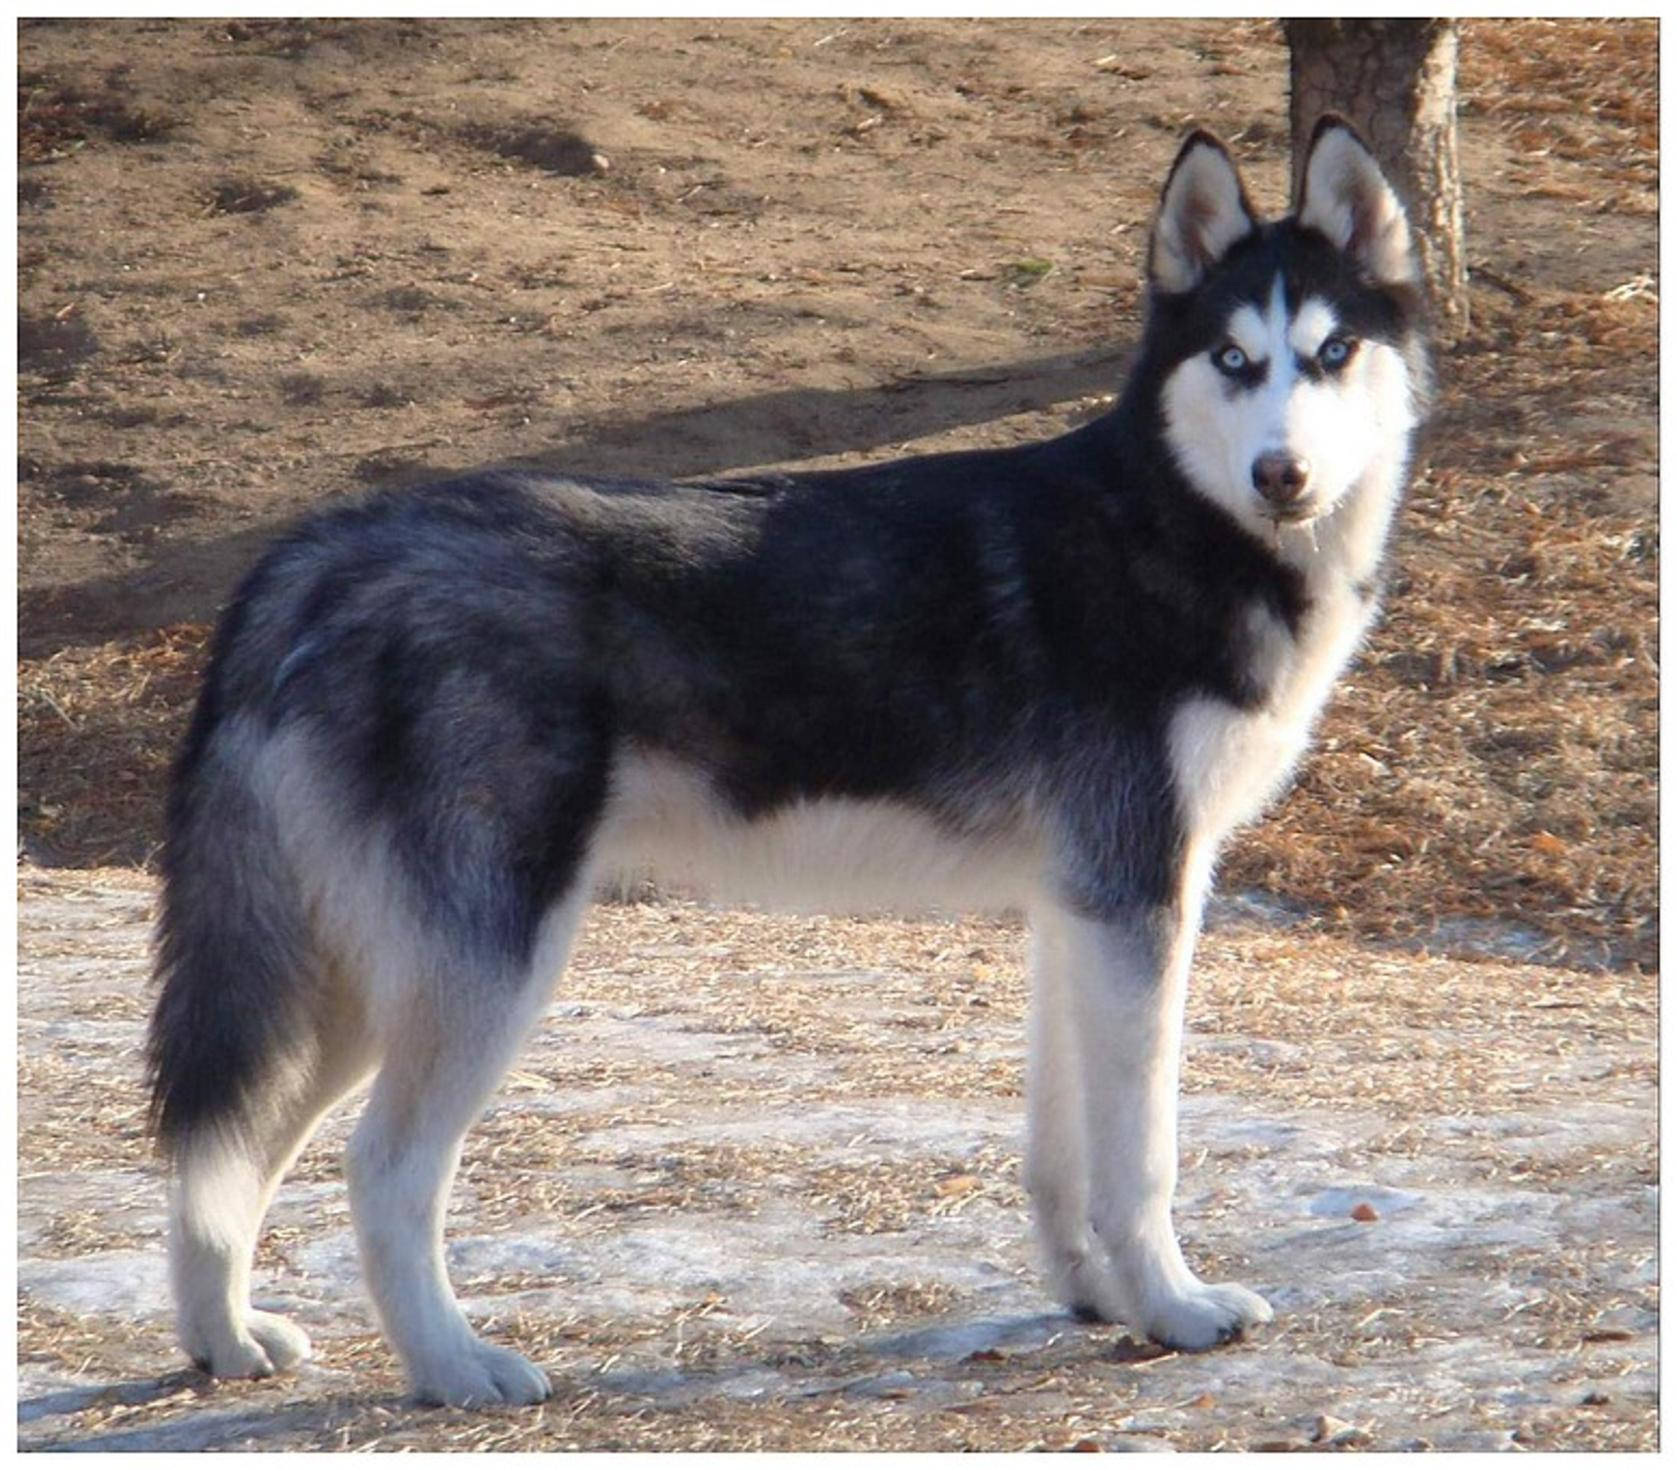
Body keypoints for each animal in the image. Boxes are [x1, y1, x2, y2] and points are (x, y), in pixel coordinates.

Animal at [150, 120, 1422, 1407]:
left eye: (1331, 352)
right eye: (1232, 358)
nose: (1281, 476)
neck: (1168, 528)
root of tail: (316, 550)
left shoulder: (1084, 915)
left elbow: (1064, 1163)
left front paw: (1096, 1296)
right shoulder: (1141, 904)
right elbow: (1144, 1158)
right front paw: (1171, 1309)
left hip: (348, 984)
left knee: (222, 1152)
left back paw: (224, 1340)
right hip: (482, 969)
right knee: (381, 1169)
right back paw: (455, 1365)